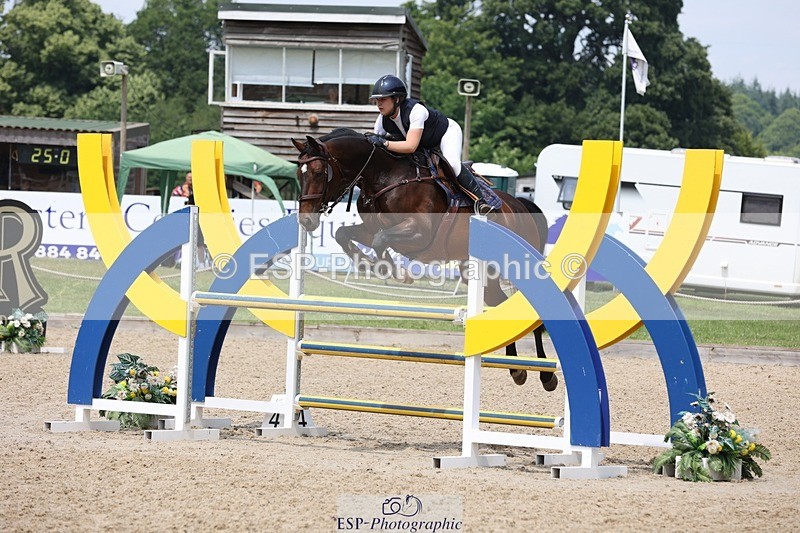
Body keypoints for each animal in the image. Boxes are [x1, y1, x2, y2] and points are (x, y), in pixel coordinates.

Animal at [291, 128, 557, 391]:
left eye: (318, 172)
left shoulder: (419, 232)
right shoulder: (371, 229)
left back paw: (547, 376)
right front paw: (371, 264)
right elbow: (345, 234)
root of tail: (520, 204)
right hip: (481, 276)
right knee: (504, 308)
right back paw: (518, 370)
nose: (306, 221)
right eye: (298, 174)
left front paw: (395, 272)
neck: (384, 175)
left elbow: (380, 240)